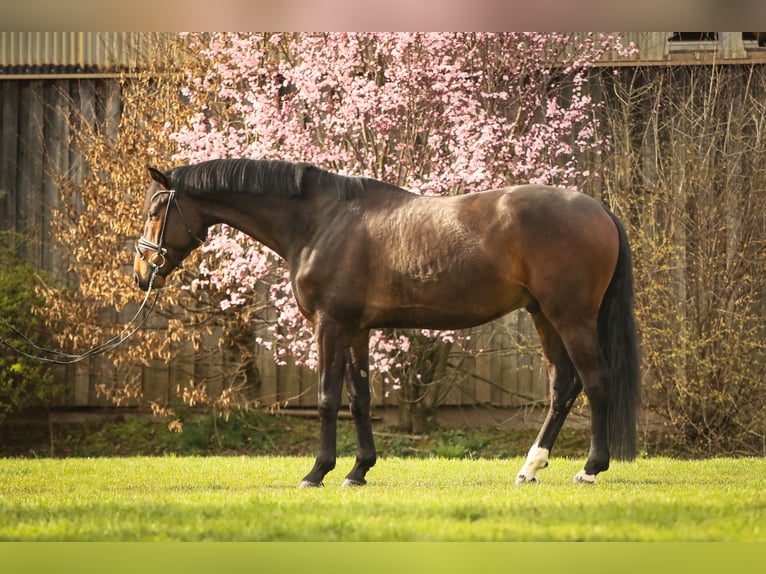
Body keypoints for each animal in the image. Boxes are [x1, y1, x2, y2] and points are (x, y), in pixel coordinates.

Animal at [134, 160, 640, 488]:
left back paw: (591, 468)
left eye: (157, 210)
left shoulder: (330, 326)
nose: (142, 273)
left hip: (570, 316)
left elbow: (327, 399)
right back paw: (530, 468)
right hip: (543, 316)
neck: (321, 222)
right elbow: (359, 400)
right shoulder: (357, 329)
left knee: (596, 382)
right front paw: (358, 471)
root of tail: (599, 210)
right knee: (563, 386)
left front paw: (317, 472)